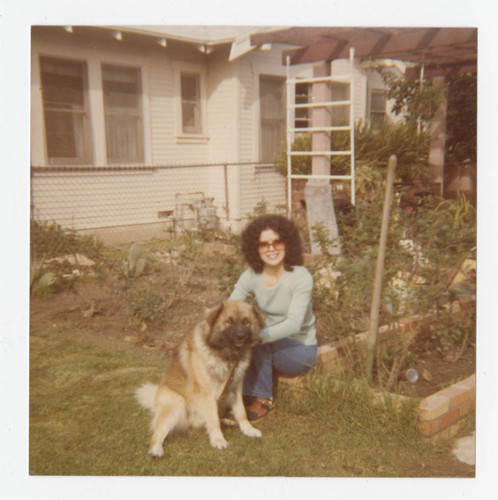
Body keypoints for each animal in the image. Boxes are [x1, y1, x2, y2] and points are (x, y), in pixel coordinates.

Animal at [134, 298, 262, 458]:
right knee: (157, 433)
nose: (240, 336)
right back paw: (156, 449)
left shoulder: (235, 387)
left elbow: (241, 412)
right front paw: (218, 439)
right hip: (177, 403)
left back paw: (227, 421)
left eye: (246, 322)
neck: (226, 354)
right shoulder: (208, 394)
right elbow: (213, 420)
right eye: (228, 322)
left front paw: (248, 429)